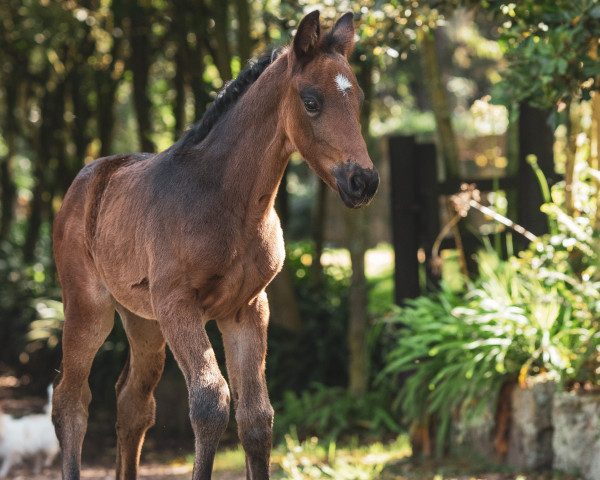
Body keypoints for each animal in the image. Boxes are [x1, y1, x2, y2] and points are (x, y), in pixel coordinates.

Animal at [52, 11, 380, 480]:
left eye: (359, 100)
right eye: (311, 101)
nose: (363, 182)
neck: (228, 203)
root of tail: (86, 178)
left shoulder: (247, 309)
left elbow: (257, 417)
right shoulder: (178, 304)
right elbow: (211, 403)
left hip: (144, 322)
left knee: (133, 402)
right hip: (88, 308)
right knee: (70, 401)